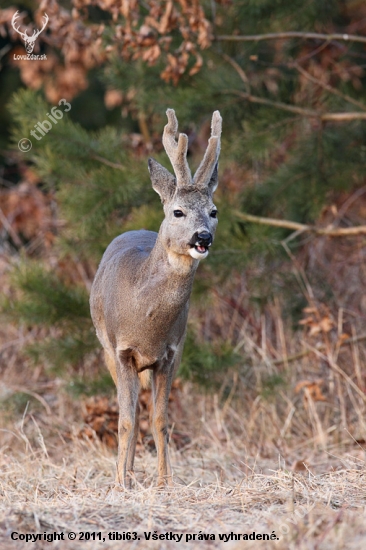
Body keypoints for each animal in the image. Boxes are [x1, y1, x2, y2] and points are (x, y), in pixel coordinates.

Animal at [90, 110, 222, 490]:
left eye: (213, 211)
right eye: (178, 212)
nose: (203, 237)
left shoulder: (172, 353)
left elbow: (160, 420)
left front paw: (165, 481)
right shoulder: (121, 351)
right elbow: (126, 420)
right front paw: (121, 481)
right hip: (104, 349)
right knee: (129, 414)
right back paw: (127, 473)